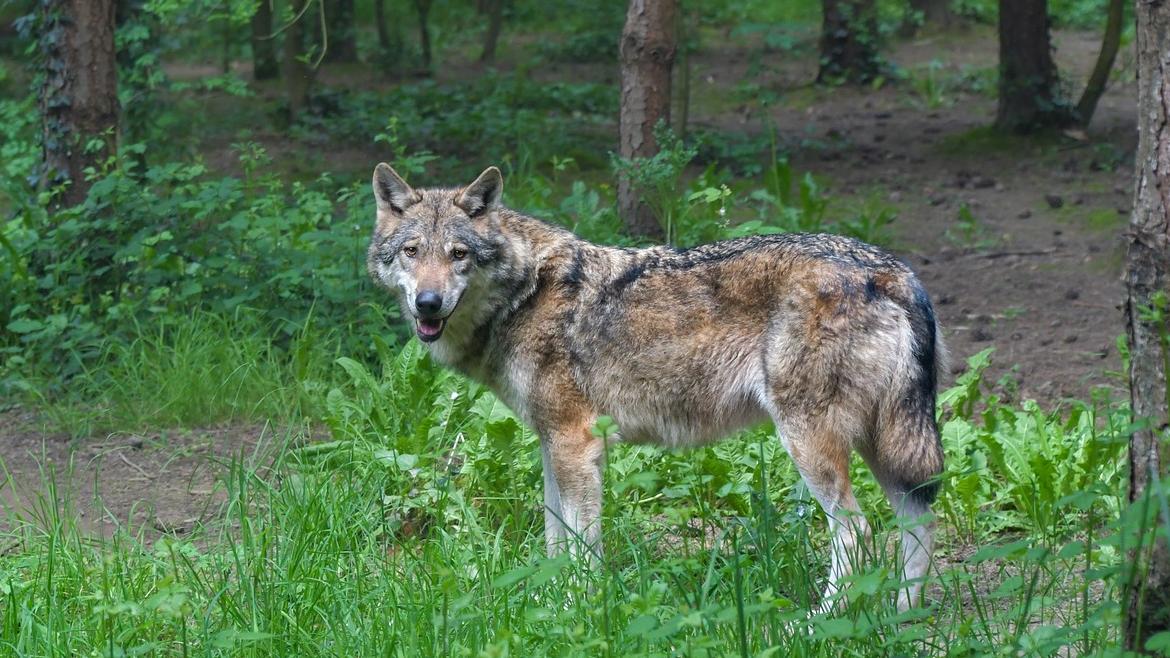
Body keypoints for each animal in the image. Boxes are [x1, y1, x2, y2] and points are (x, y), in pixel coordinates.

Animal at [366, 164, 947, 612]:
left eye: (458, 254)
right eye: (412, 251)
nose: (428, 303)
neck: (525, 293)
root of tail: (893, 271)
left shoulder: (577, 444)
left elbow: (582, 548)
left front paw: (578, 610)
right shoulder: (552, 445)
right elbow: (555, 542)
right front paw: (547, 607)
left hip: (811, 443)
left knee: (858, 533)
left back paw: (814, 625)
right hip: (883, 445)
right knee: (918, 522)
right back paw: (901, 617)